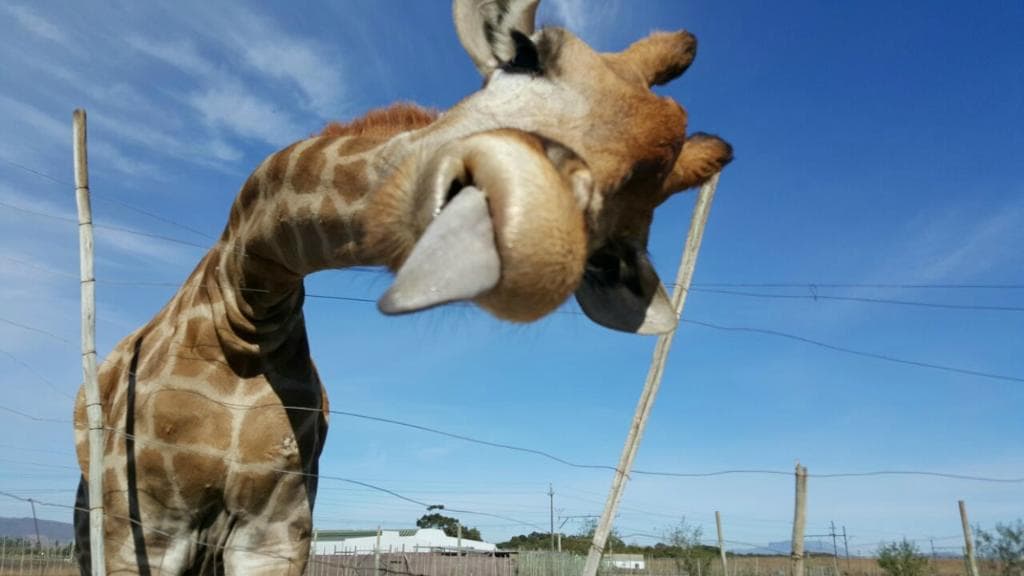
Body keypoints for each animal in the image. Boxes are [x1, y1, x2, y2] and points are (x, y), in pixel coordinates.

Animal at [72, 1, 732, 574]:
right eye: (525, 58)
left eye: (606, 255)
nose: (528, 240)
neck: (248, 308)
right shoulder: (145, 525)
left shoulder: (277, 526)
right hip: (93, 517)